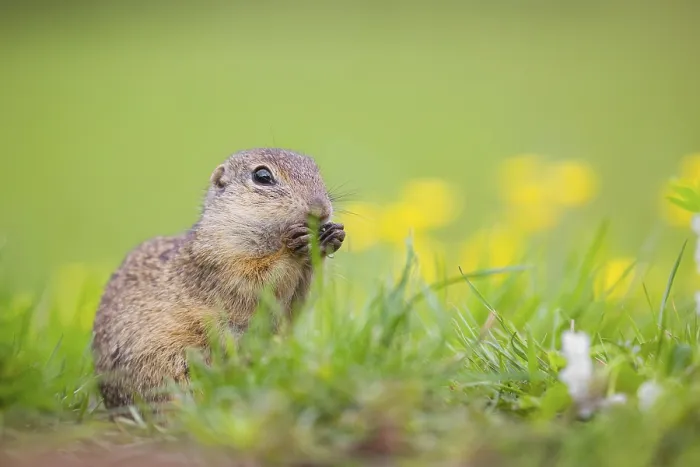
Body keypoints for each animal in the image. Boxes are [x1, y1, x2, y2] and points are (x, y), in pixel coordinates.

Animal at [90, 148, 346, 410]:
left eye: (316, 171)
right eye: (262, 176)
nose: (321, 209)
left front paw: (332, 236)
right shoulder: (220, 263)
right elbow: (258, 280)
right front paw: (292, 245)